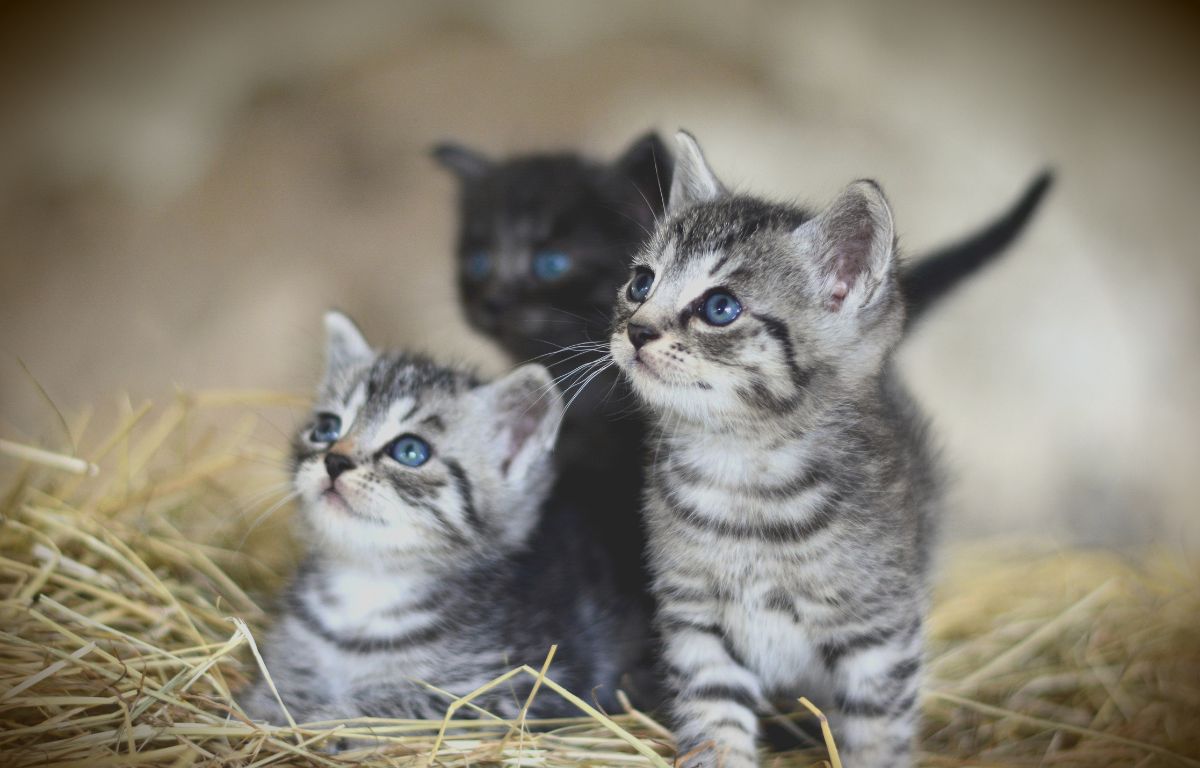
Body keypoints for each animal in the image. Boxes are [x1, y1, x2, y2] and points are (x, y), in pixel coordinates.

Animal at [241, 309, 648, 724]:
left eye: (409, 451)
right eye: (326, 428)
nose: (335, 461)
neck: (367, 586)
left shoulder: (521, 688)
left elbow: (399, 705)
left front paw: (326, 719)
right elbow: (278, 687)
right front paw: (268, 709)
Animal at [614, 133, 940, 768]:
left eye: (720, 307)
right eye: (641, 282)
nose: (636, 330)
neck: (743, 474)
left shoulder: (880, 630)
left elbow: (878, 734)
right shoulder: (695, 621)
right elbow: (714, 718)